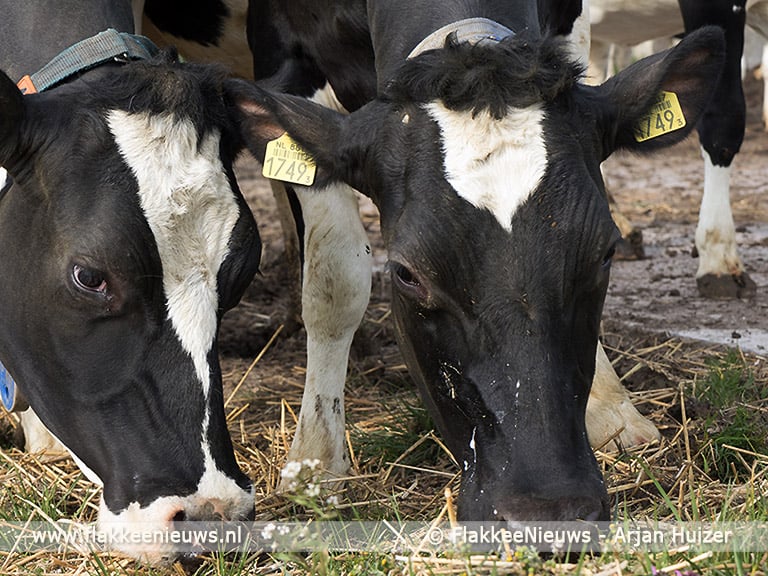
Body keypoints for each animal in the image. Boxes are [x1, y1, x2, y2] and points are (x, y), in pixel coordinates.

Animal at [220, 0, 725, 522]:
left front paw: (612, 409)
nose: (549, 512)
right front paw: (316, 463)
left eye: (606, 253)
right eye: (406, 273)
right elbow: (336, 277)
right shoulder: (286, 48)